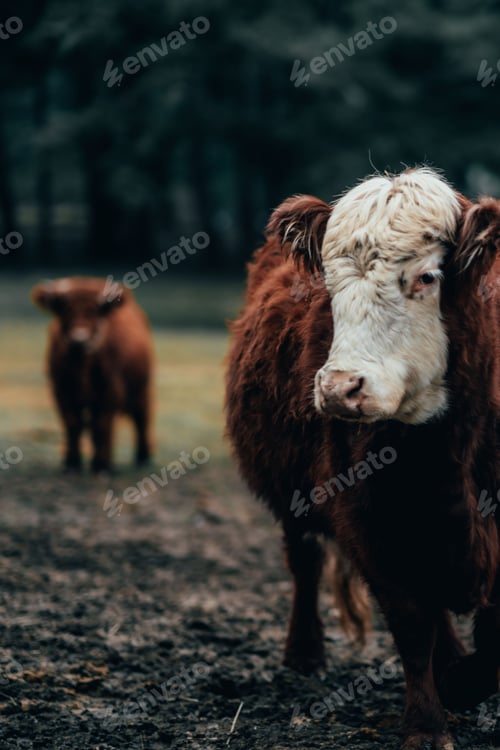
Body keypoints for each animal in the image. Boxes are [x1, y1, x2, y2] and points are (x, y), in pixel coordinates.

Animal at [32, 277, 153, 473]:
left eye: (95, 312)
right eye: (65, 310)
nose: (79, 339)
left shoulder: (110, 392)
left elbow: (101, 426)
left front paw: (101, 465)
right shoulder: (61, 392)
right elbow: (73, 424)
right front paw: (72, 463)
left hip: (143, 390)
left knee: (141, 419)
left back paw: (142, 458)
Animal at [225, 168, 500, 750]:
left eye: (426, 277)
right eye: (328, 286)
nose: (338, 387)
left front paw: (462, 679)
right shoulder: (367, 520)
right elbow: (412, 625)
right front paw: (427, 723)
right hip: (294, 497)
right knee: (304, 561)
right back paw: (304, 653)